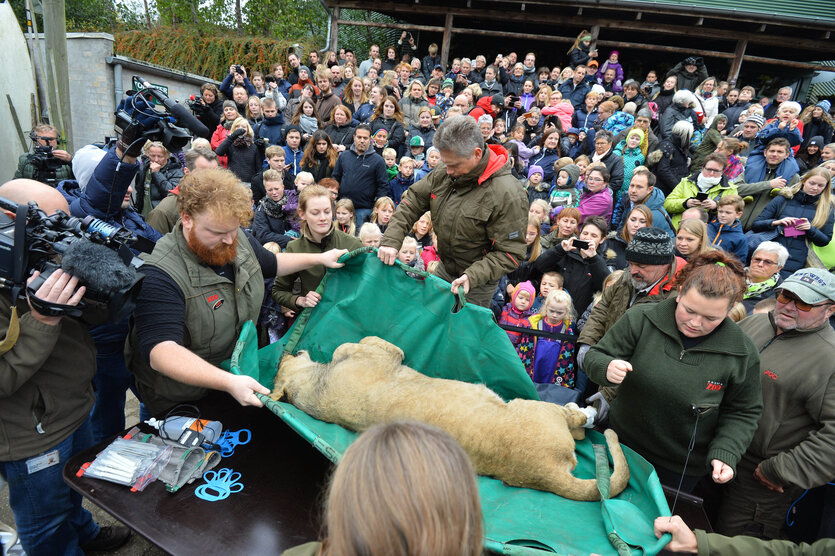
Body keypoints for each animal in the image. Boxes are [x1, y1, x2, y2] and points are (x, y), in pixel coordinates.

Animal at [272, 336, 632, 502]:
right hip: (534, 408)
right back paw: (588, 411)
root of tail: (544, 473)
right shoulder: (384, 352)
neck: (314, 387)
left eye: (278, 365)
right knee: (577, 425)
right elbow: (354, 345)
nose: (285, 351)